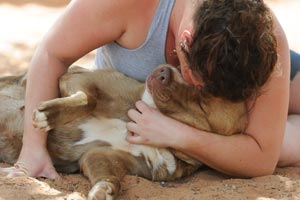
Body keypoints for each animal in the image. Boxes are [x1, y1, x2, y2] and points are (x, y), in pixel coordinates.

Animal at [0, 65, 247, 199]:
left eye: (202, 103)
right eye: (187, 70)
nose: (164, 70)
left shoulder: (99, 155)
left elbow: (109, 177)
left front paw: (106, 189)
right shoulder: (78, 77)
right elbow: (88, 99)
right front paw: (49, 115)